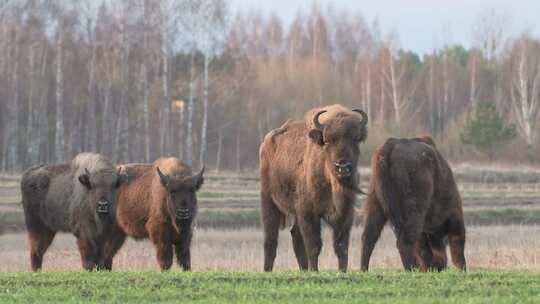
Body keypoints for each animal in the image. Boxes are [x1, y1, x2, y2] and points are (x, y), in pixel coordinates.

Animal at [260, 104, 370, 270]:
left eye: (355, 139)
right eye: (328, 140)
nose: (342, 167)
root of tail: (266, 143)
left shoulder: (345, 215)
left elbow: (341, 247)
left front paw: (342, 271)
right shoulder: (308, 214)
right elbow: (313, 246)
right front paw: (315, 270)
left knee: (296, 237)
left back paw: (304, 269)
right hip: (268, 200)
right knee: (270, 240)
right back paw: (268, 270)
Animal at [360, 137, 466, 272]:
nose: (437, 267)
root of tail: (389, 146)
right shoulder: (454, 215)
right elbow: (457, 244)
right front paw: (462, 268)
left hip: (375, 198)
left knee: (369, 236)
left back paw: (363, 269)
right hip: (414, 206)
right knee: (404, 241)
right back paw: (410, 269)